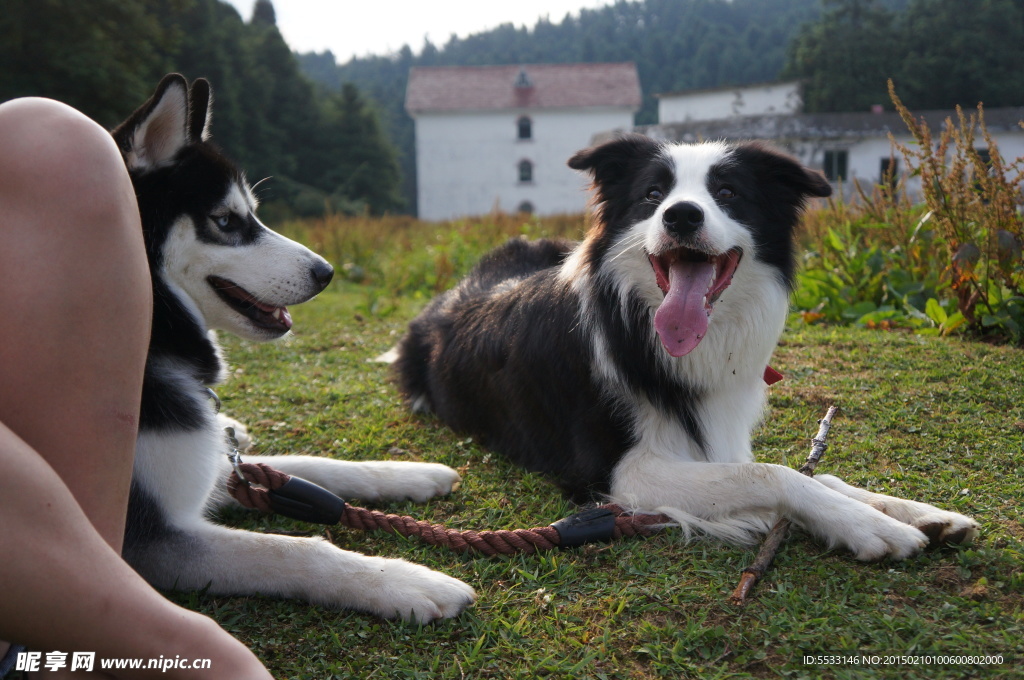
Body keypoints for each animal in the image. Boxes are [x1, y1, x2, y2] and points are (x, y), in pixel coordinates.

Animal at [116, 74, 475, 622]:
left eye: (253, 214)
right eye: (226, 221)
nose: (326, 273)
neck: (159, 332)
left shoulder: (217, 469)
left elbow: (311, 465)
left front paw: (407, 473)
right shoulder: (149, 539)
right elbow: (294, 550)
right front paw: (404, 581)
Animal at [395, 135, 978, 561]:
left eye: (729, 192)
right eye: (653, 194)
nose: (681, 216)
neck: (644, 327)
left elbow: (818, 472)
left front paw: (915, 511)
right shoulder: (617, 472)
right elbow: (774, 472)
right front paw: (867, 525)